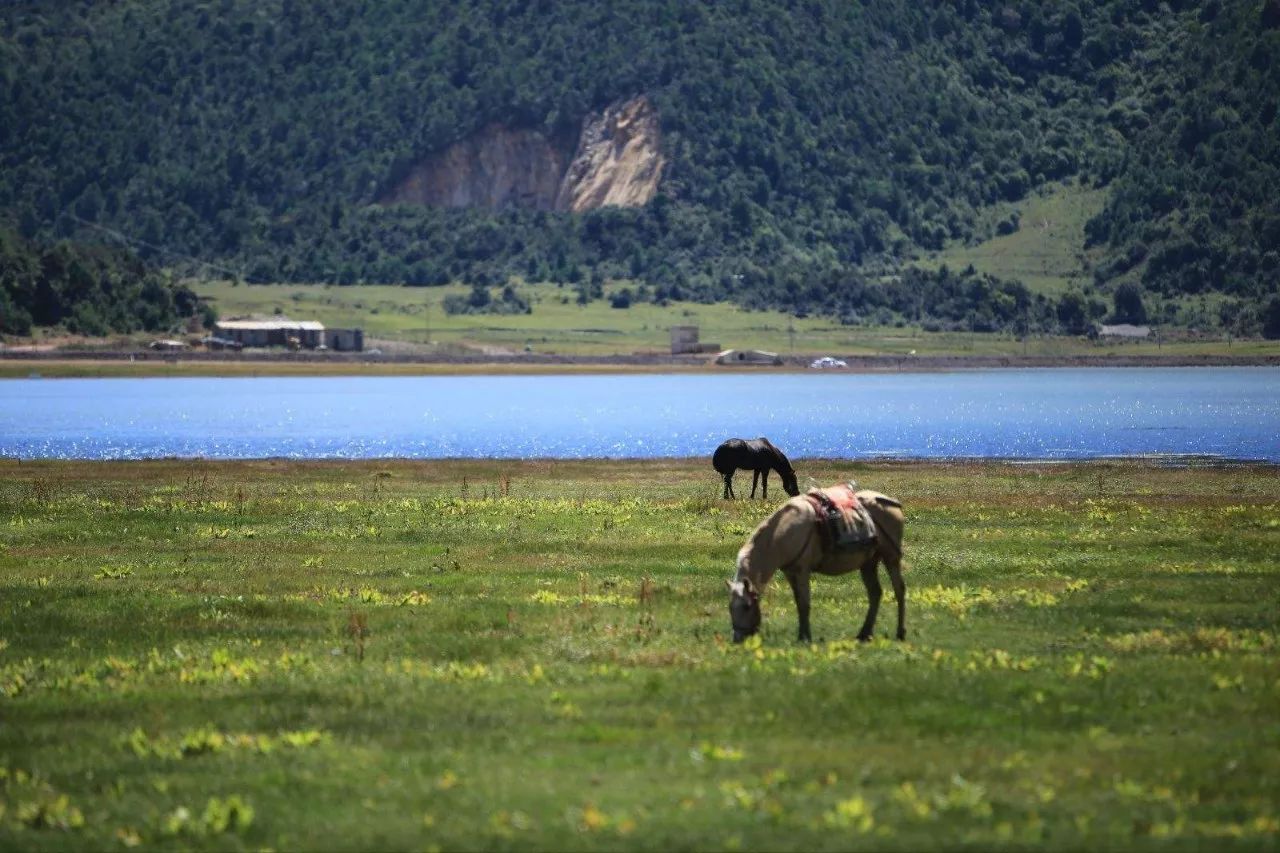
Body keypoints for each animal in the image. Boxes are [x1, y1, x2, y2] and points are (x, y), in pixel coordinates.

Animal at [727, 484, 906, 637]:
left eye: (746, 606)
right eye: (730, 607)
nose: (738, 638)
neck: (782, 534)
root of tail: (892, 503)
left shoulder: (802, 570)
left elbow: (804, 603)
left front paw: (804, 637)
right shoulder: (790, 572)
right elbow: (799, 603)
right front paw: (803, 634)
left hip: (891, 556)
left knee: (899, 589)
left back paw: (900, 633)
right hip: (868, 562)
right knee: (875, 593)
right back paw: (864, 634)